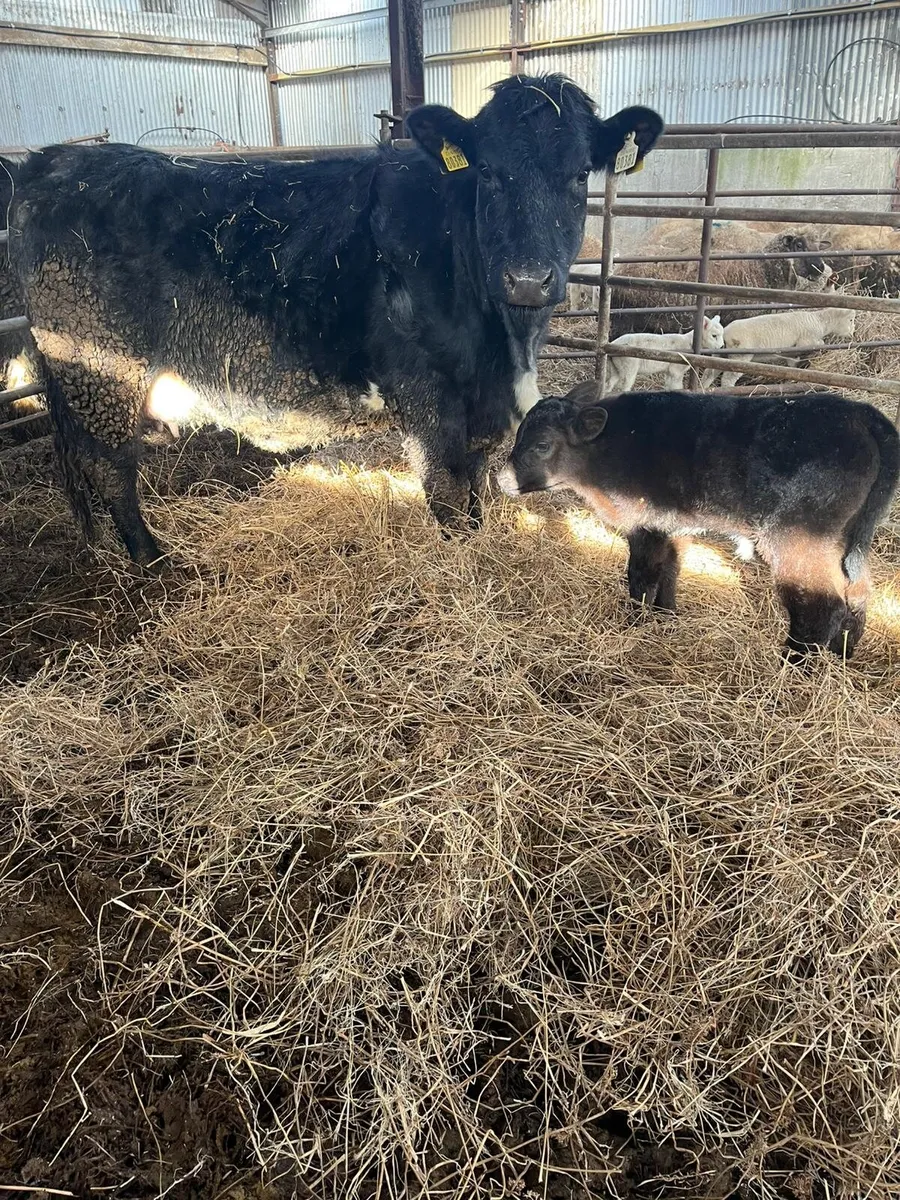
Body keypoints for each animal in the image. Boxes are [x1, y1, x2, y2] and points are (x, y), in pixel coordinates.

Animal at [7, 75, 663, 563]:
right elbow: (448, 496)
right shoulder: (426, 396)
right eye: (489, 172)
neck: (505, 343)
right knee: (109, 464)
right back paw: (152, 559)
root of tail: (53, 161)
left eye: (579, 174)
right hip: (99, 369)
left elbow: (475, 488)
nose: (528, 278)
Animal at [498, 381, 899, 660]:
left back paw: (792, 665)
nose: (502, 479)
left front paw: (634, 623)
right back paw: (842, 655)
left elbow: (642, 576)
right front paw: (666, 617)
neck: (606, 451)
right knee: (858, 592)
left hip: (799, 538)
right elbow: (671, 572)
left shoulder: (645, 523)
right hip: (850, 539)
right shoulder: (673, 525)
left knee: (822, 603)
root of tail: (864, 416)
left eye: (542, 446)